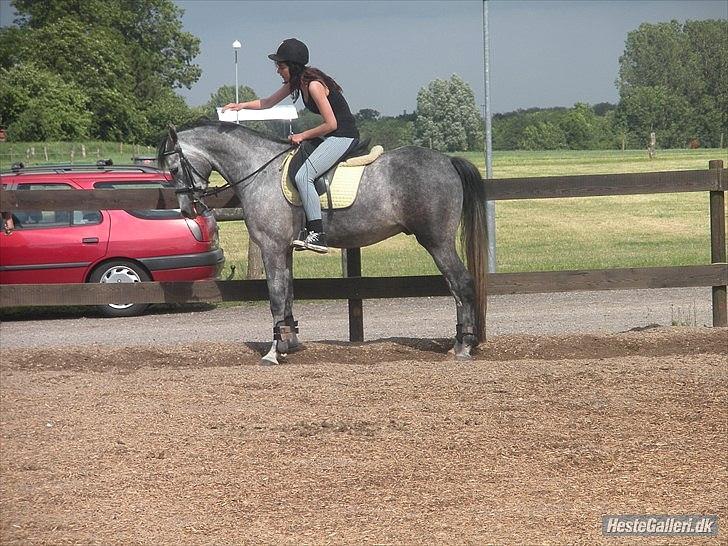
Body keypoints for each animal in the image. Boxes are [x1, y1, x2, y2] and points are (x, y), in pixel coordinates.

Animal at [160, 121, 490, 364]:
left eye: (174, 169)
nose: (188, 209)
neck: (260, 171)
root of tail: (448, 161)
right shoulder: (285, 249)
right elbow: (288, 294)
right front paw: (289, 343)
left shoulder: (271, 247)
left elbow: (276, 296)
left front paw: (273, 352)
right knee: (457, 288)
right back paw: (458, 344)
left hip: (437, 241)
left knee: (461, 284)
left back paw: (463, 346)